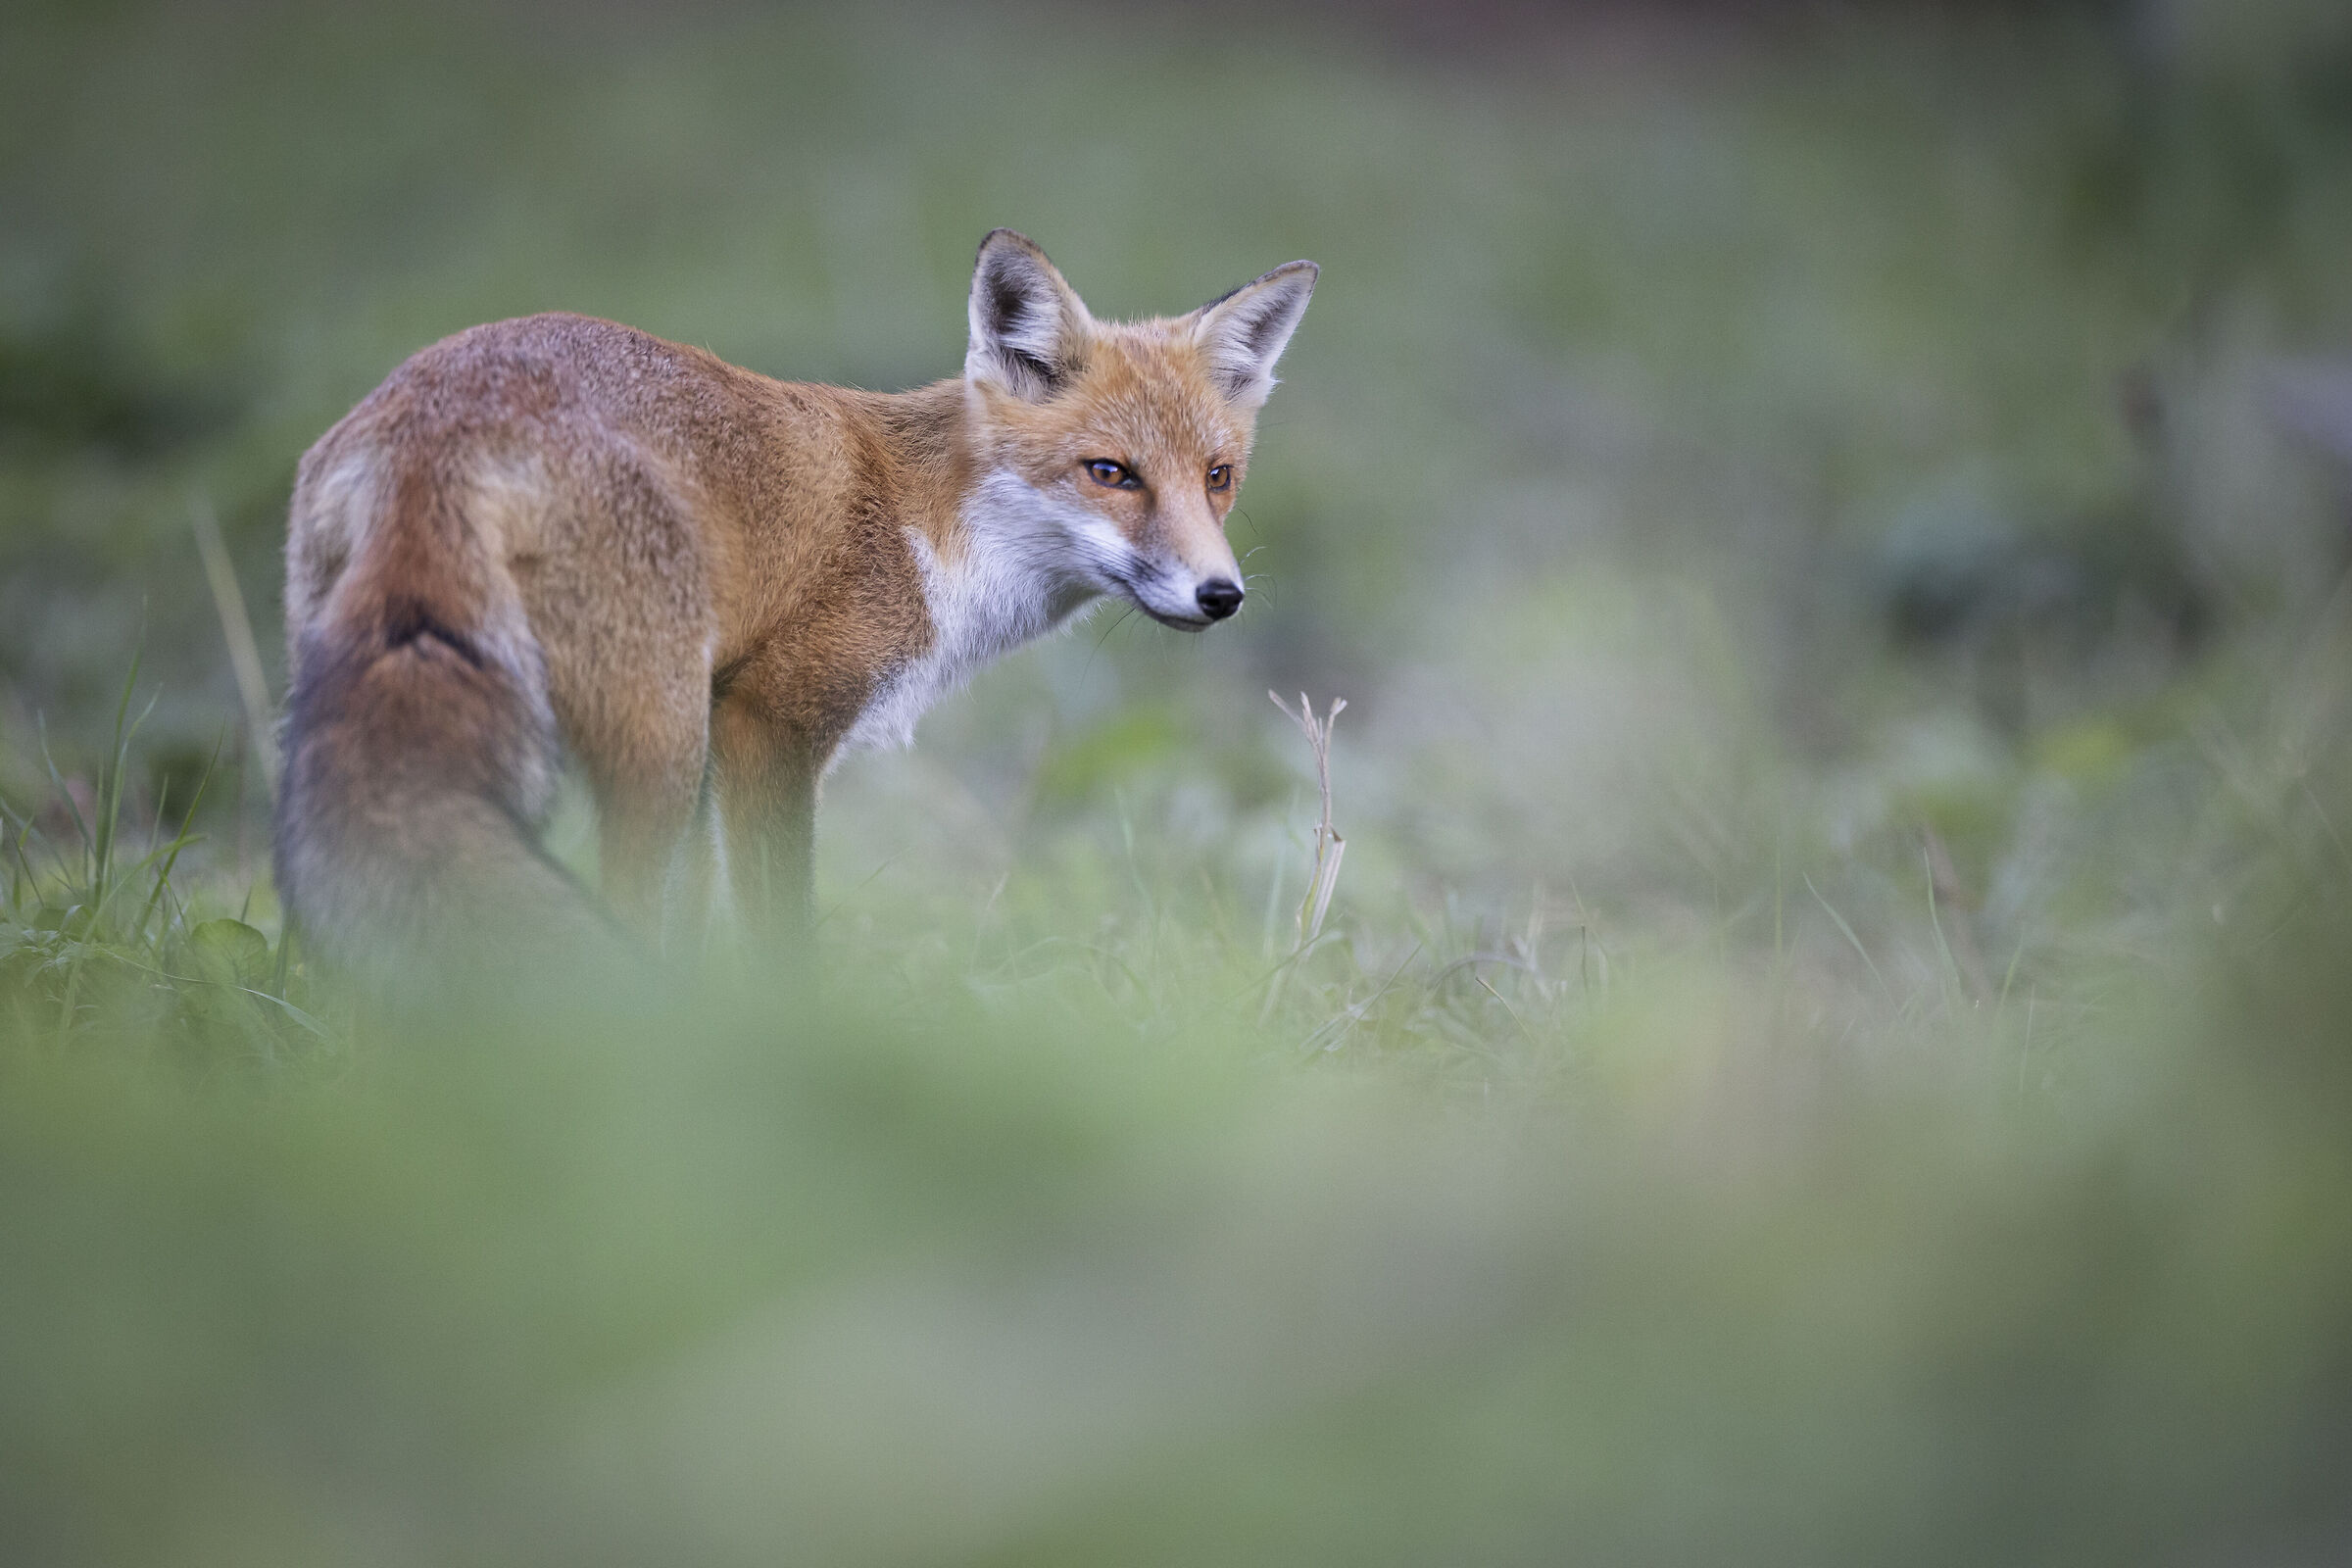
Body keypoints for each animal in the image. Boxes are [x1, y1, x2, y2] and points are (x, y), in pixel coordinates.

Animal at [274, 229, 1317, 976]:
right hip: (656, 748)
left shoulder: (723, 742)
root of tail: (438, 424)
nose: (1220, 594)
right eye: (1111, 473)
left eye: (1218, 477)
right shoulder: (767, 725)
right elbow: (779, 935)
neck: (929, 528)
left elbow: (695, 929)